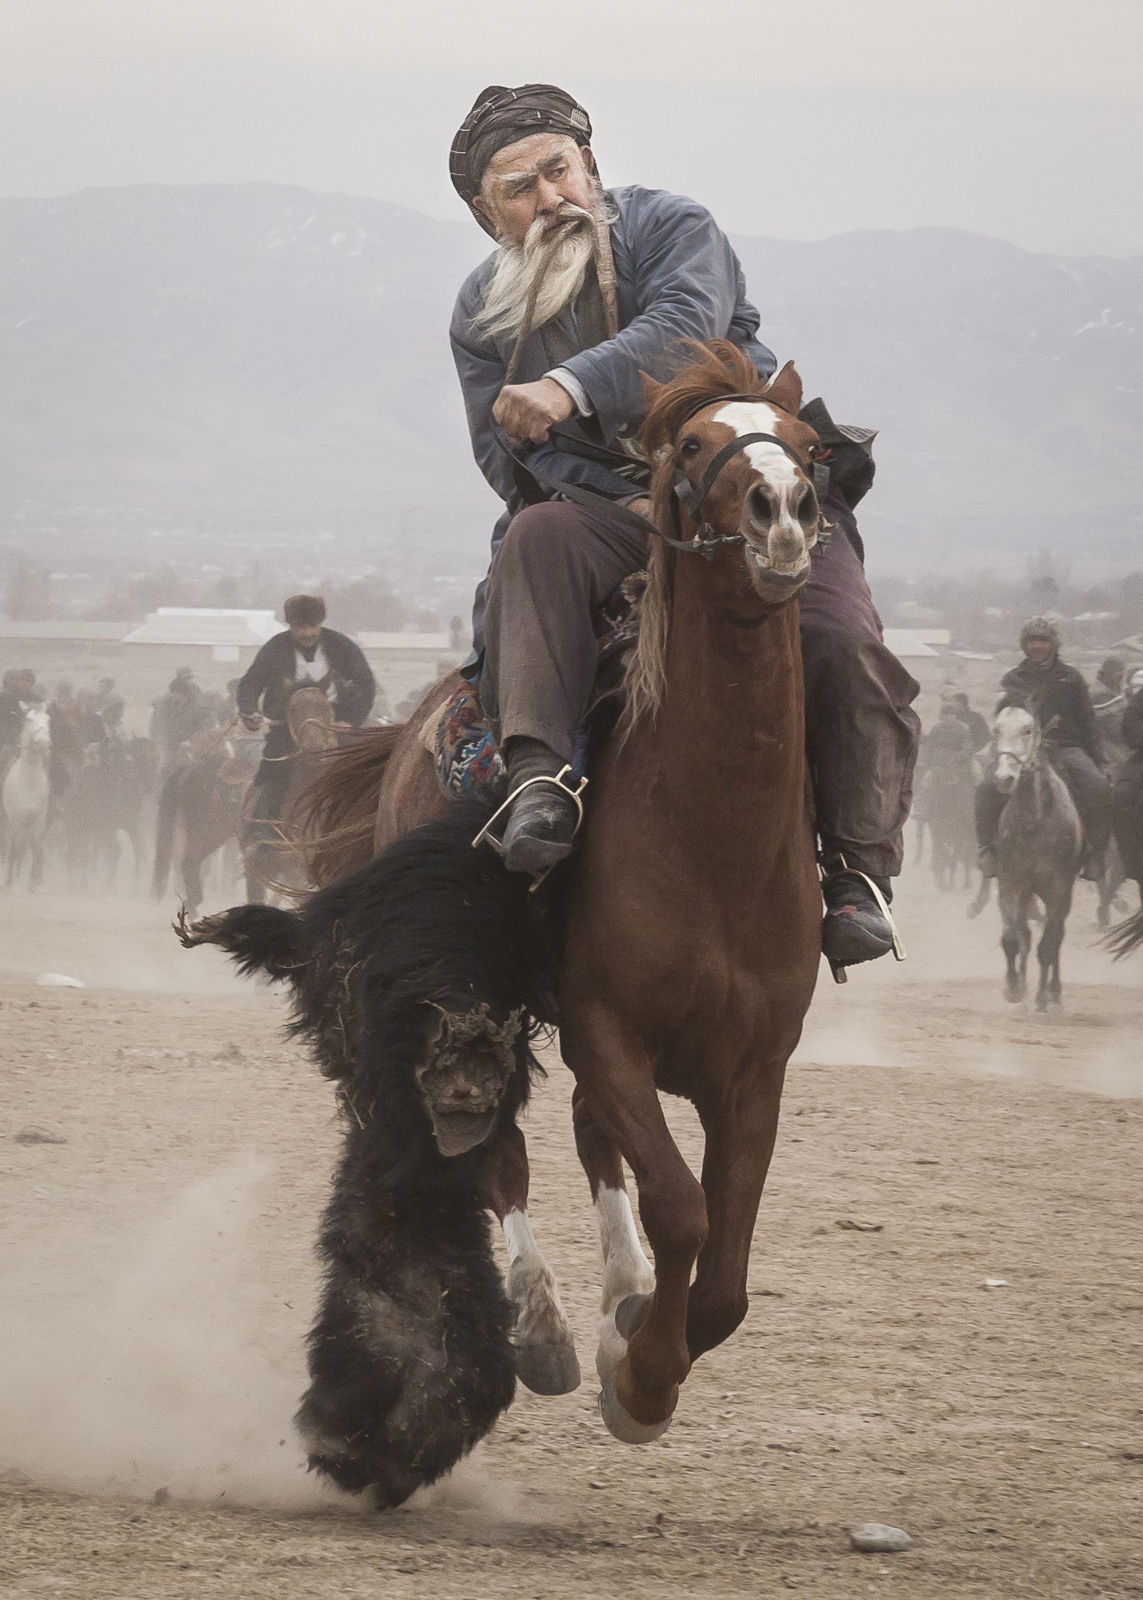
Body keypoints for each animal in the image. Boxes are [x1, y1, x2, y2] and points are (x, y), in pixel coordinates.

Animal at [2, 710, 52, 896]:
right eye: (29, 719)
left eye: (48, 719)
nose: (43, 742)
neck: (28, 781)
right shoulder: (14, 818)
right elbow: (13, 846)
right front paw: (10, 883)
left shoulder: (38, 818)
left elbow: (36, 845)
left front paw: (33, 882)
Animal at [986, 713, 1082, 1011]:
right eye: (996, 730)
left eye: (1027, 730)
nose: (1004, 778)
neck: (1034, 822)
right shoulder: (1011, 884)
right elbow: (1013, 939)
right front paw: (1014, 988)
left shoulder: (1058, 890)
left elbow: (1048, 944)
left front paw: (1042, 997)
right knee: (1027, 937)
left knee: (1056, 938)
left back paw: (1052, 993)